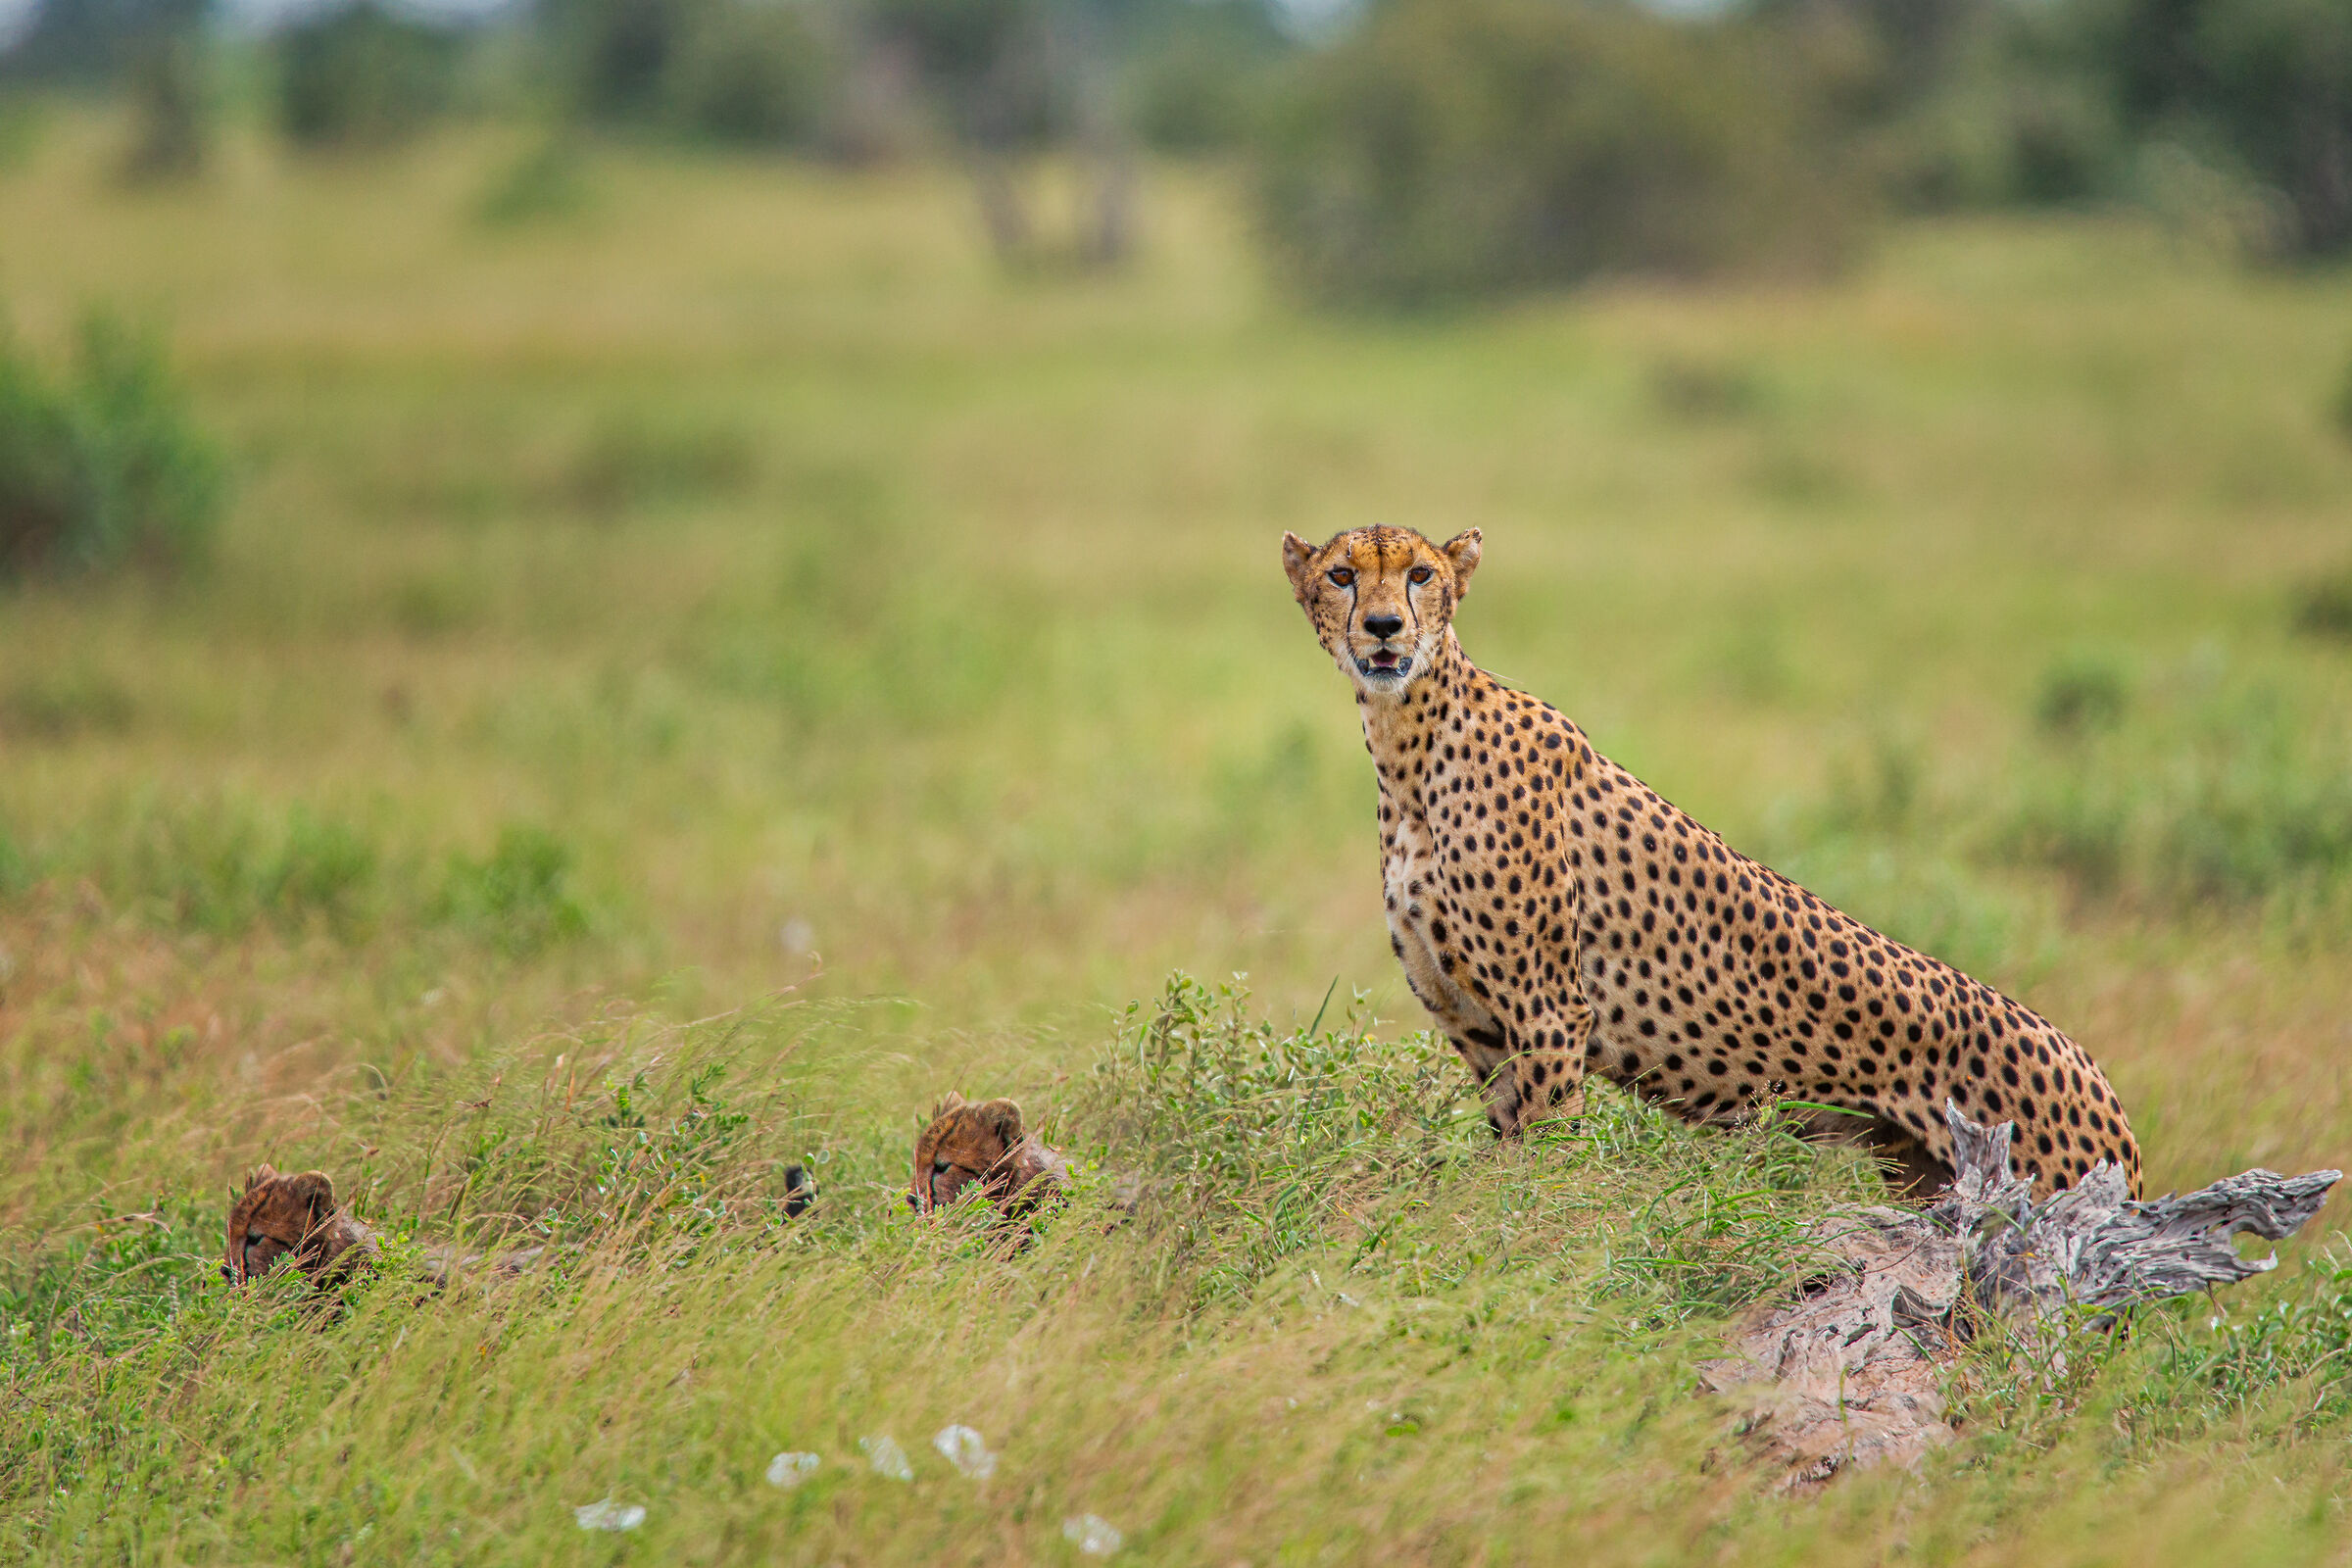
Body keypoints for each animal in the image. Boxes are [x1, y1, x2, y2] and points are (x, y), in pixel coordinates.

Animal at [1281, 524, 2142, 1199]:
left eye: (1421, 574)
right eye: (1343, 575)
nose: (1384, 627)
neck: (1406, 741)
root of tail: (2097, 1074)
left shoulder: (1549, 1011)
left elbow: (1545, 1162)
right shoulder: (1480, 1026)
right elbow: (1508, 1151)